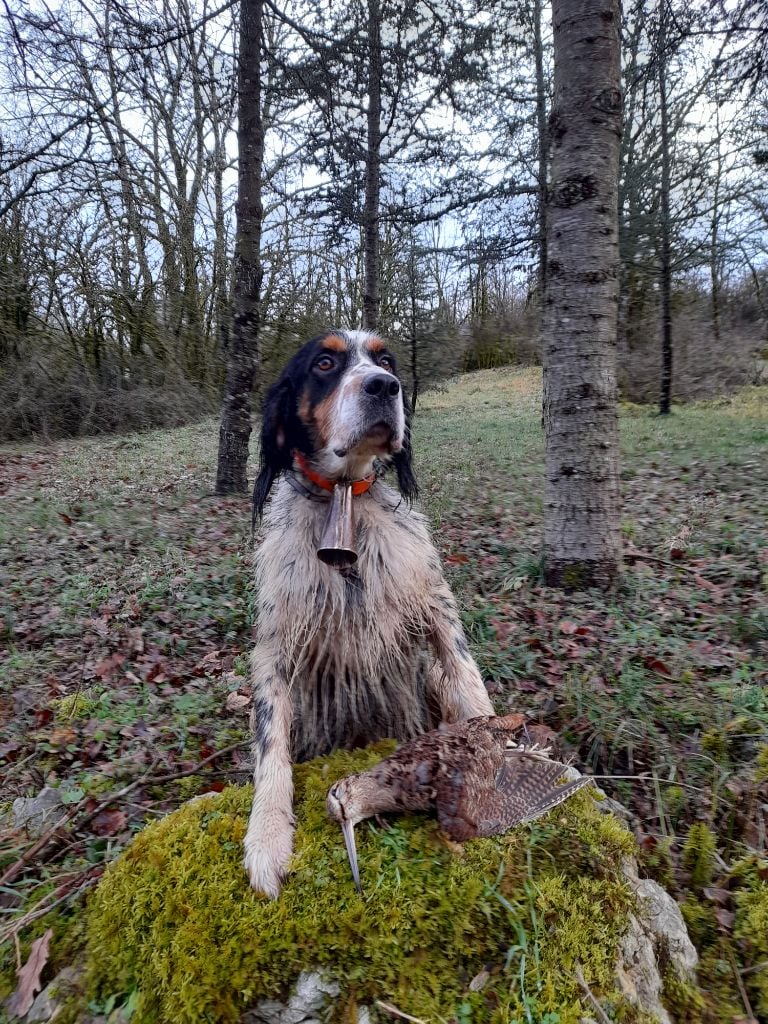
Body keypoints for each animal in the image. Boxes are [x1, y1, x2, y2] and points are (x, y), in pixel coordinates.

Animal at [243, 329, 493, 897]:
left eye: (387, 361)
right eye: (325, 363)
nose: (384, 386)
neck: (345, 501)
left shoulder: (435, 604)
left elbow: (470, 685)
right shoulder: (275, 648)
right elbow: (272, 748)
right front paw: (267, 836)